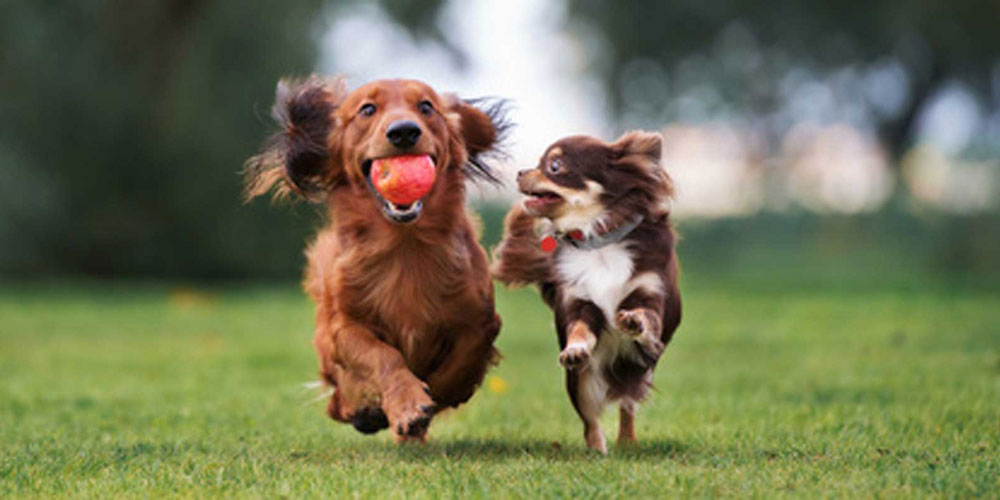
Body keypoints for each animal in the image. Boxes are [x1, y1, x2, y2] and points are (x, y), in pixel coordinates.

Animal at [490, 131, 680, 452]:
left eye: (554, 166)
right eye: (538, 163)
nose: (520, 172)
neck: (598, 242)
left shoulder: (651, 294)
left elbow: (647, 317)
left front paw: (635, 321)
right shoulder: (580, 304)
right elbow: (579, 330)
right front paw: (576, 349)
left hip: (640, 370)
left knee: (627, 405)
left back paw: (627, 442)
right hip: (579, 383)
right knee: (591, 421)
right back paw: (597, 450)